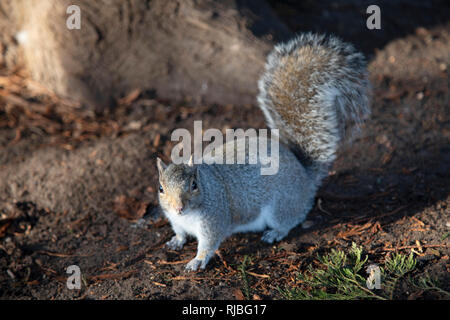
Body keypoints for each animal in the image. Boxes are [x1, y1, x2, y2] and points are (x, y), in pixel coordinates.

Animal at [155, 33, 370, 270]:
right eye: (161, 189)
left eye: (194, 185)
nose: (178, 208)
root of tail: (304, 177)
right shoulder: (176, 221)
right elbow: (180, 232)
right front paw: (176, 240)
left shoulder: (214, 220)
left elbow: (209, 243)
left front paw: (198, 260)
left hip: (281, 205)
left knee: (291, 219)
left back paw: (275, 232)